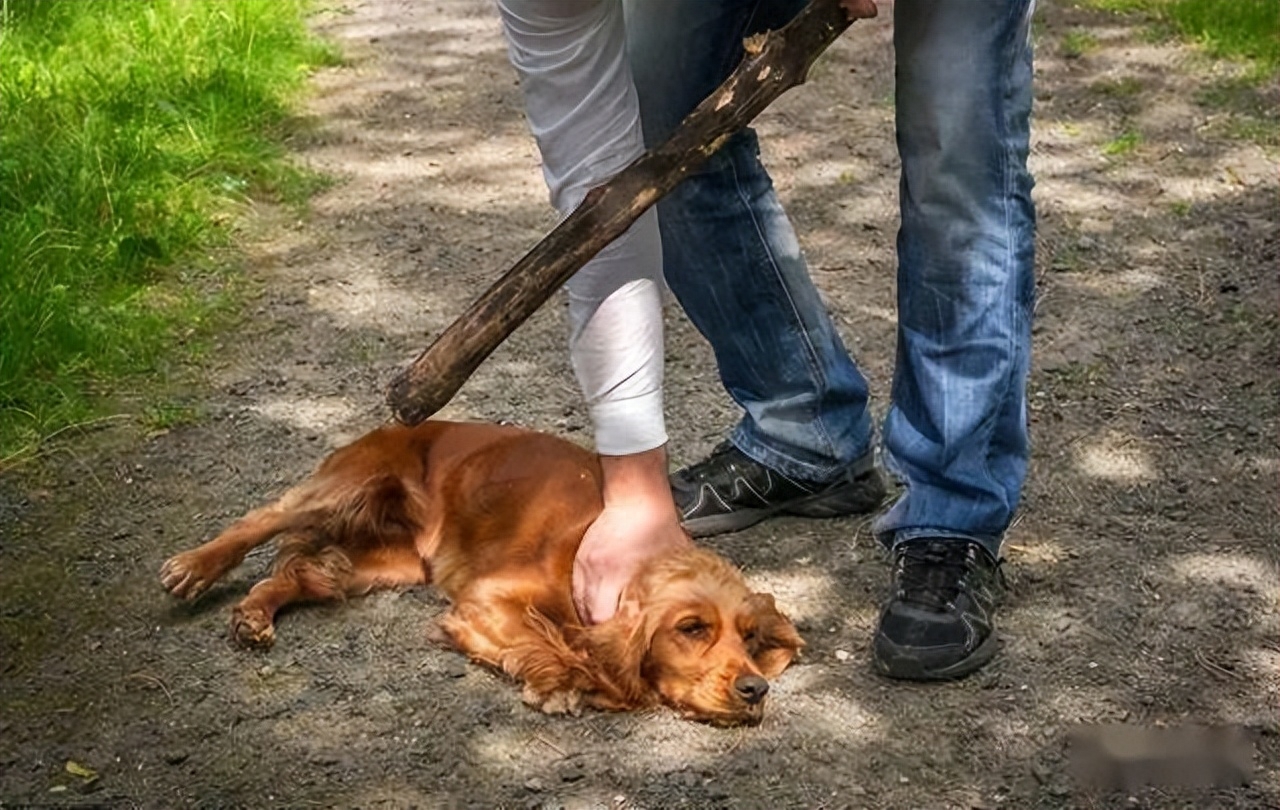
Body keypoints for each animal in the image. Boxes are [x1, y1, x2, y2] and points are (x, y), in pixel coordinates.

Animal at [160, 419, 798, 721]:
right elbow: (551, 644)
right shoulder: (486, 599)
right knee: (261, 519)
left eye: (749, 638)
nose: (755, 689)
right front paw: (567, 682)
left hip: (391, 562)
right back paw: (192, 567)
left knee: (305, 573)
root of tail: (399, 423)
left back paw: (253, 614)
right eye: (691, 628)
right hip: (347, 484)